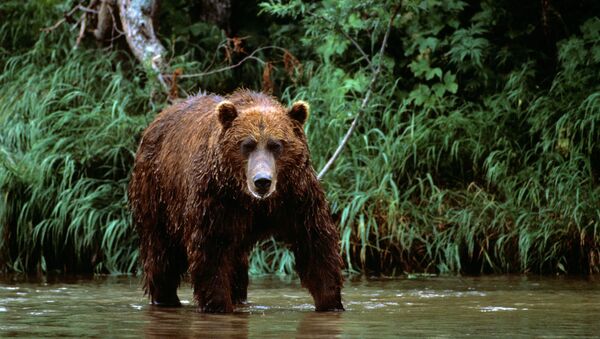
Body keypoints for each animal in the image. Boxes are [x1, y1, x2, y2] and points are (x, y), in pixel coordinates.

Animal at [129, 88, 344, 314]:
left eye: (276, 145)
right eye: (247, 145)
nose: (262, 181)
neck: (252, 201)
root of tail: (156, 121)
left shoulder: (296, 196)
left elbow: (315, 244)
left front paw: (330, 301)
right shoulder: (216, 199)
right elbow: (211, 252)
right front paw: (218, 305)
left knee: (237, 265)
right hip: (157, 195)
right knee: (162, 256)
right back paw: (165, 298)